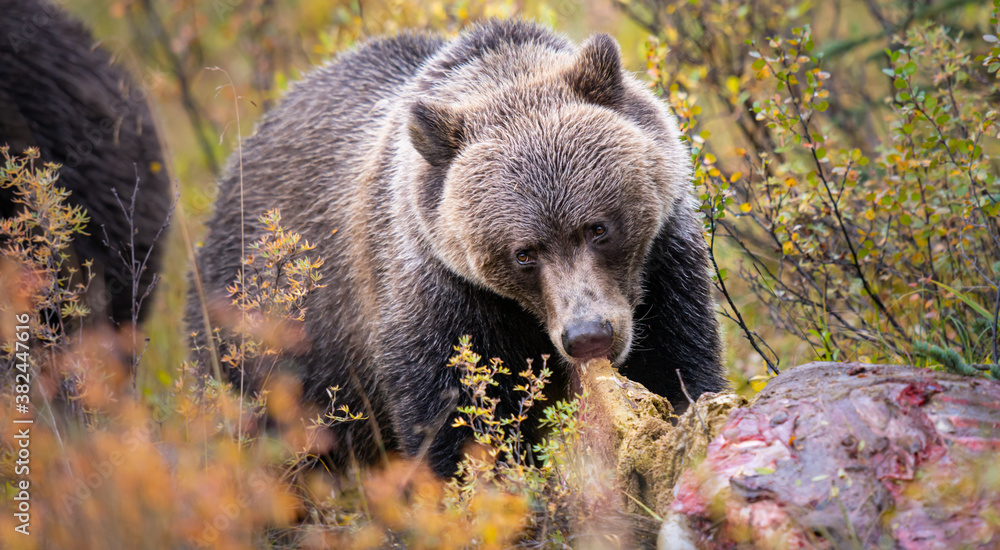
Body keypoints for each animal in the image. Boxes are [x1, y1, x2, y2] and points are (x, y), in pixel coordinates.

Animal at [188, 19, 726, 477]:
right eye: (524, 253)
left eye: (597, 228)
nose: (588, 335)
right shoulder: (439, 295)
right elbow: (459, 424)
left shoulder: (665, 266)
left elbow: (677, 367)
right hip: (266, 339)